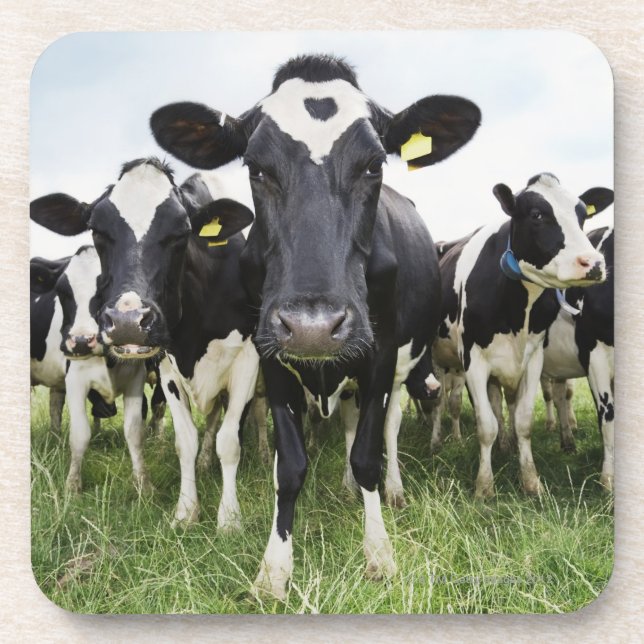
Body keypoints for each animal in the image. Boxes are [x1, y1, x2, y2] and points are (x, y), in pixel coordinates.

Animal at [31, 159, 259, 529]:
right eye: (96, 229)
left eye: (182, 231)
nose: (127, 321)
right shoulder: (166, 366)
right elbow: (185, 440)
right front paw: (186, 512)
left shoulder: (248, 364)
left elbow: (229, 441)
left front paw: (229, 519)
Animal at [149, 53, 482, 600]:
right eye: (256, 167)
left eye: (374, 164)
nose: (313, 327)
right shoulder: (270, 356)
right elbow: (289, 465)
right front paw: (274, 569)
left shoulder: (380, 354)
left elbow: (367, 453)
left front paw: (379, 553)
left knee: (386, 429)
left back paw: (389, 491)